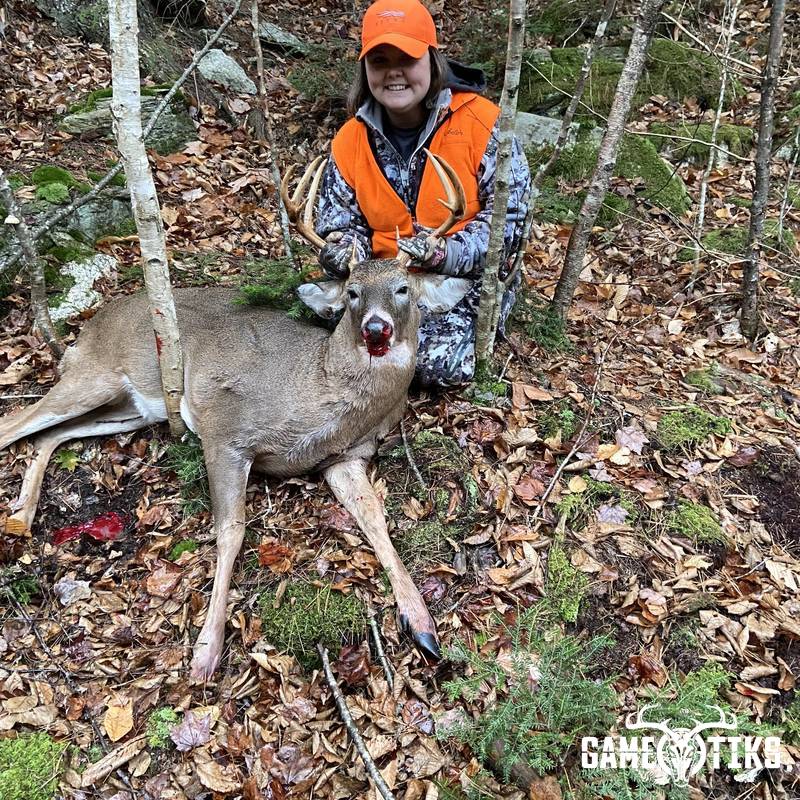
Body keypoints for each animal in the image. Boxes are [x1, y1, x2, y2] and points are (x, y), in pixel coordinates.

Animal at [0, 152, 471, 680]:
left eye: (402, 288)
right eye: (351, 292)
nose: (375, 328)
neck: (321, 393)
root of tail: (87, 327)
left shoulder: (344, 457)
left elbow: (377, 519)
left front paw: (423, 624)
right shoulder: (226, 429)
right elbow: (231, 531)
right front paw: (205, 651)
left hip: (131, 408)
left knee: (48, 436)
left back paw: (21, 517)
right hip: (97, 374)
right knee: (14, 423)